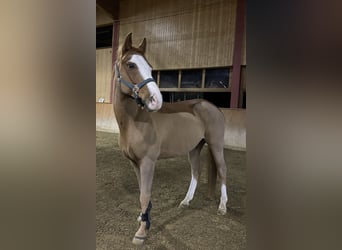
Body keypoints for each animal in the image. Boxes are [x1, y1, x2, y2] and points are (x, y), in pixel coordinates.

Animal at [113, 32, 228, 244]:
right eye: (131, 65)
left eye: (150, 66)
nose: (156, 100)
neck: (134, 121)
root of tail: (212, 106)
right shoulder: (135, 162)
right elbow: (142, 191)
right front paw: (143, 217)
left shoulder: (148, 162)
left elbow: (145, 194)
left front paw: (141, 232)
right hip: (195, 147)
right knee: (195, 172)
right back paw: (186, 201)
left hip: (216, 144)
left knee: (223, 170)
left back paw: (222, 206)